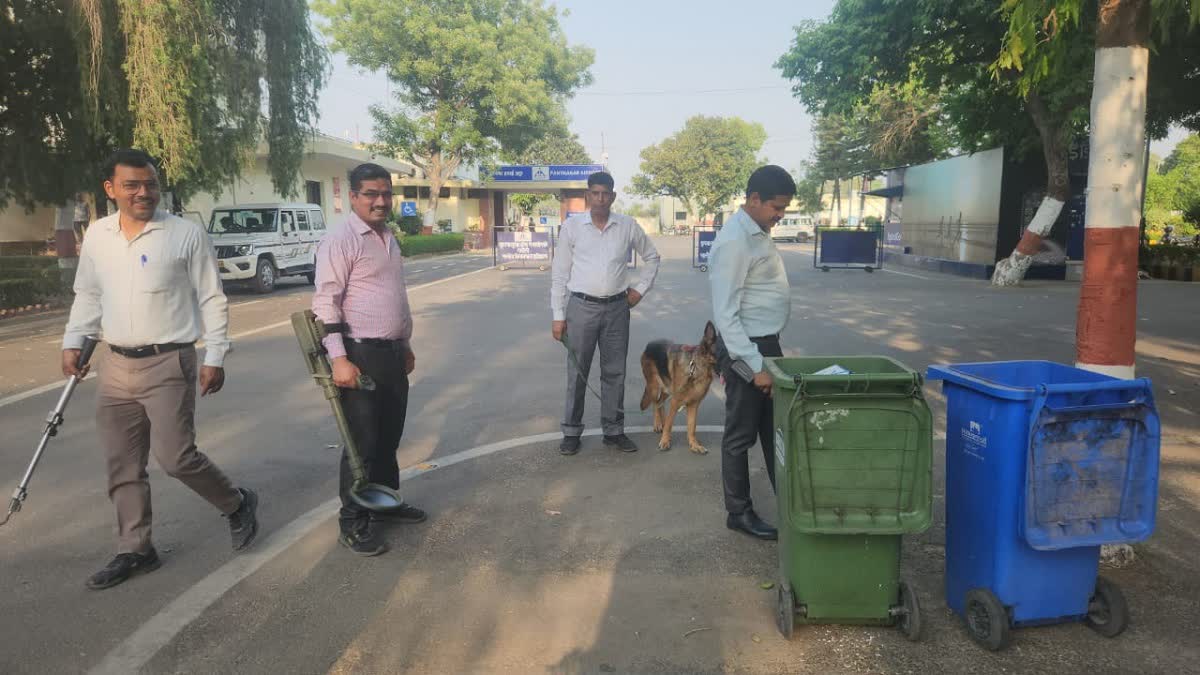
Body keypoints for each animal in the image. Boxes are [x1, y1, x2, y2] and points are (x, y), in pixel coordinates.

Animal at [643, 319, 715, 451]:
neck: (696, 368)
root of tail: (649, 344)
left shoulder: (693, 405)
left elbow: (692, 427)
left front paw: (694, 445)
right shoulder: (675, 401)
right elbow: (669, 424)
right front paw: (665, 441)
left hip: (667, 390)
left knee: (660, 403)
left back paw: (662, 421)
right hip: (655, 389)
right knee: (656, 403)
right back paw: (658, 423)